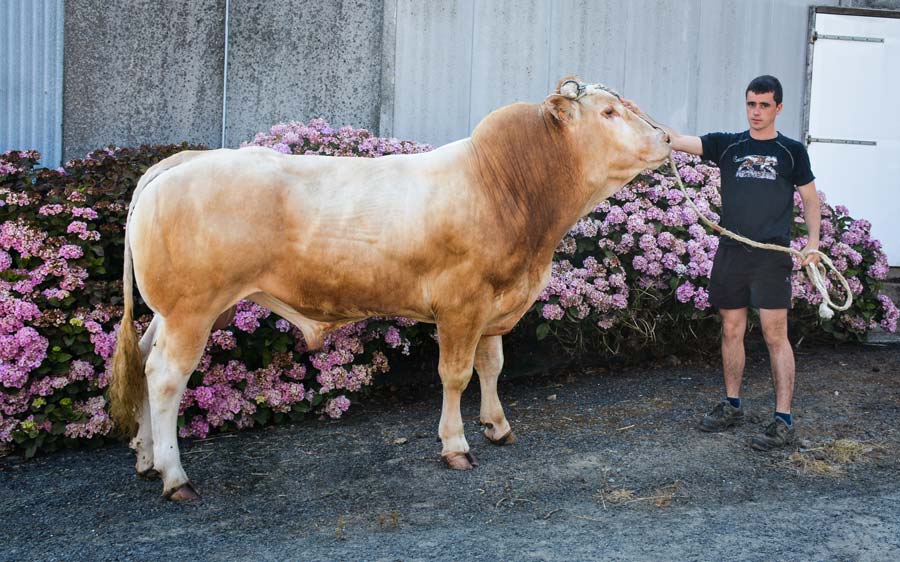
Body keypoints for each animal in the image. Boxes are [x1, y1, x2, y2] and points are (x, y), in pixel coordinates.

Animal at [110, 75, 668, 498]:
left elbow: (492, 367)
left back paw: (146, 458)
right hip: (192, 310)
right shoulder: (461, 305)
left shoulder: (496, 305)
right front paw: (456, 446)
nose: (665, 138)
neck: (506, 189)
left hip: (177, 312)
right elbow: (455, 375)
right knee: (166, 378)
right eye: (609, 113)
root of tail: (182, 161)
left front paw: (497, 426)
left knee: (144, 359)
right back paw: (175, 476)